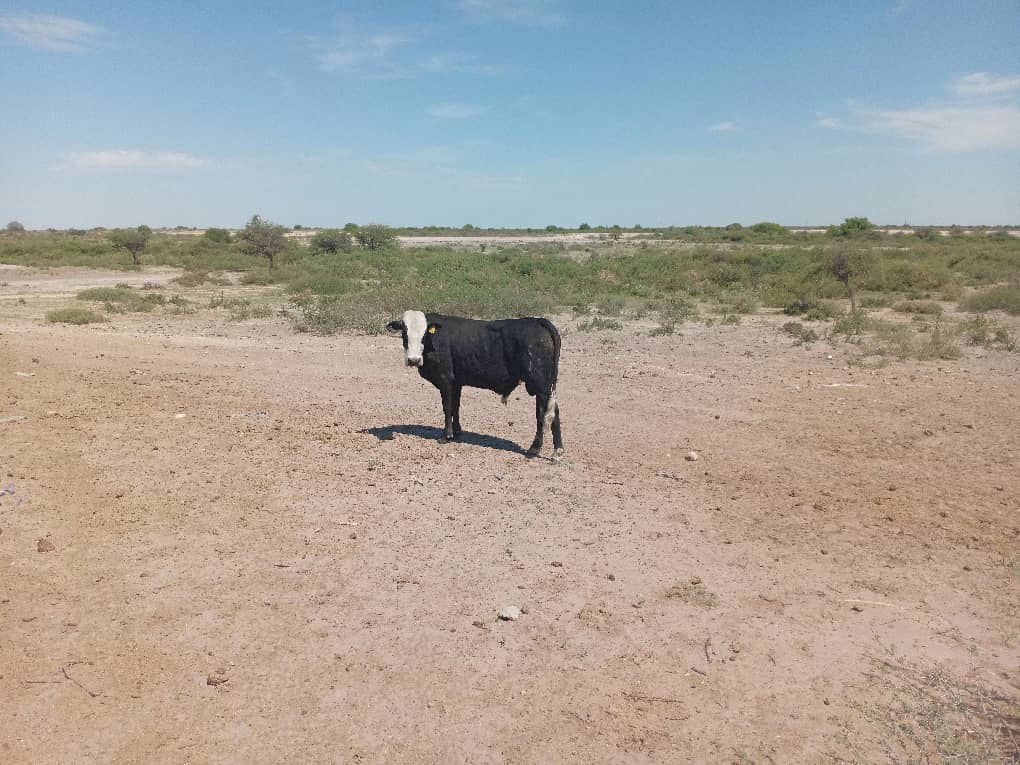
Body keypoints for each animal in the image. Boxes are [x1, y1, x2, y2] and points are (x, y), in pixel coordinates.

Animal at [386, 310, 564, 460]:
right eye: (404, 332)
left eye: (424, 335)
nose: (413, 360)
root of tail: (538, 321)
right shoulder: (456, 382)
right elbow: (455, 407)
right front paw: (457, 432)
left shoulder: (445, 379)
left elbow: (447, 407)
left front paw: (446, 435)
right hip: (548, 385)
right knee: (554, 412)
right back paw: (558, 451)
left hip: (540, 385)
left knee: (543, 414)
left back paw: (535, 448)